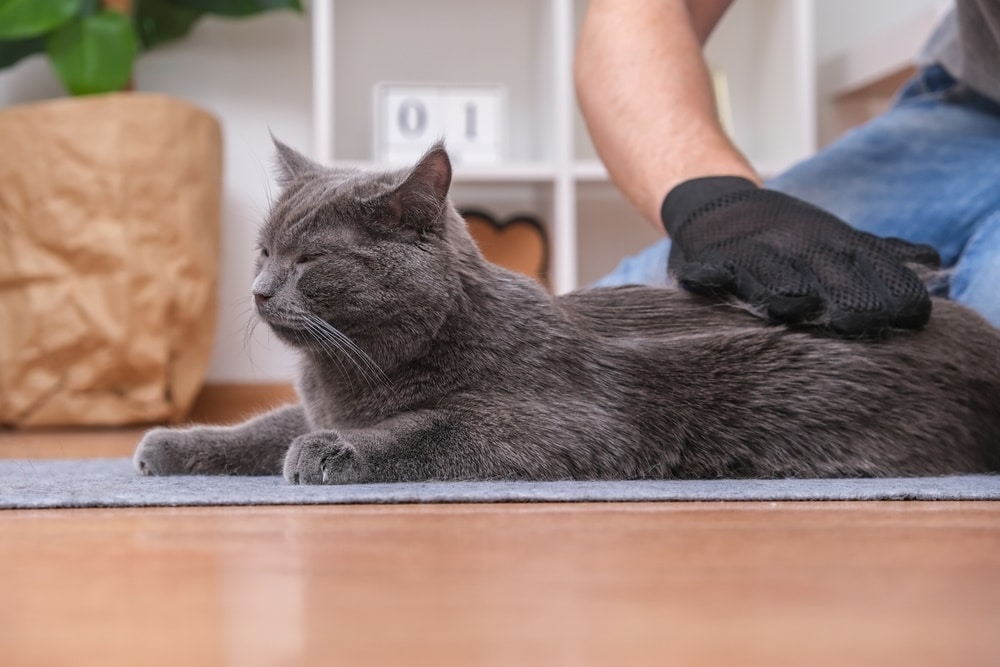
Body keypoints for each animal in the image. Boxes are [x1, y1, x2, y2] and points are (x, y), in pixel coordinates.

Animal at [133, 142, 1000, 486]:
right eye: (262, 251)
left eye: (309, 261)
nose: (258, 290)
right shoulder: (315, 398)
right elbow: (260, 425)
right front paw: (171, 444)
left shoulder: (562, 421)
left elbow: (429, 429)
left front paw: (334, 451)